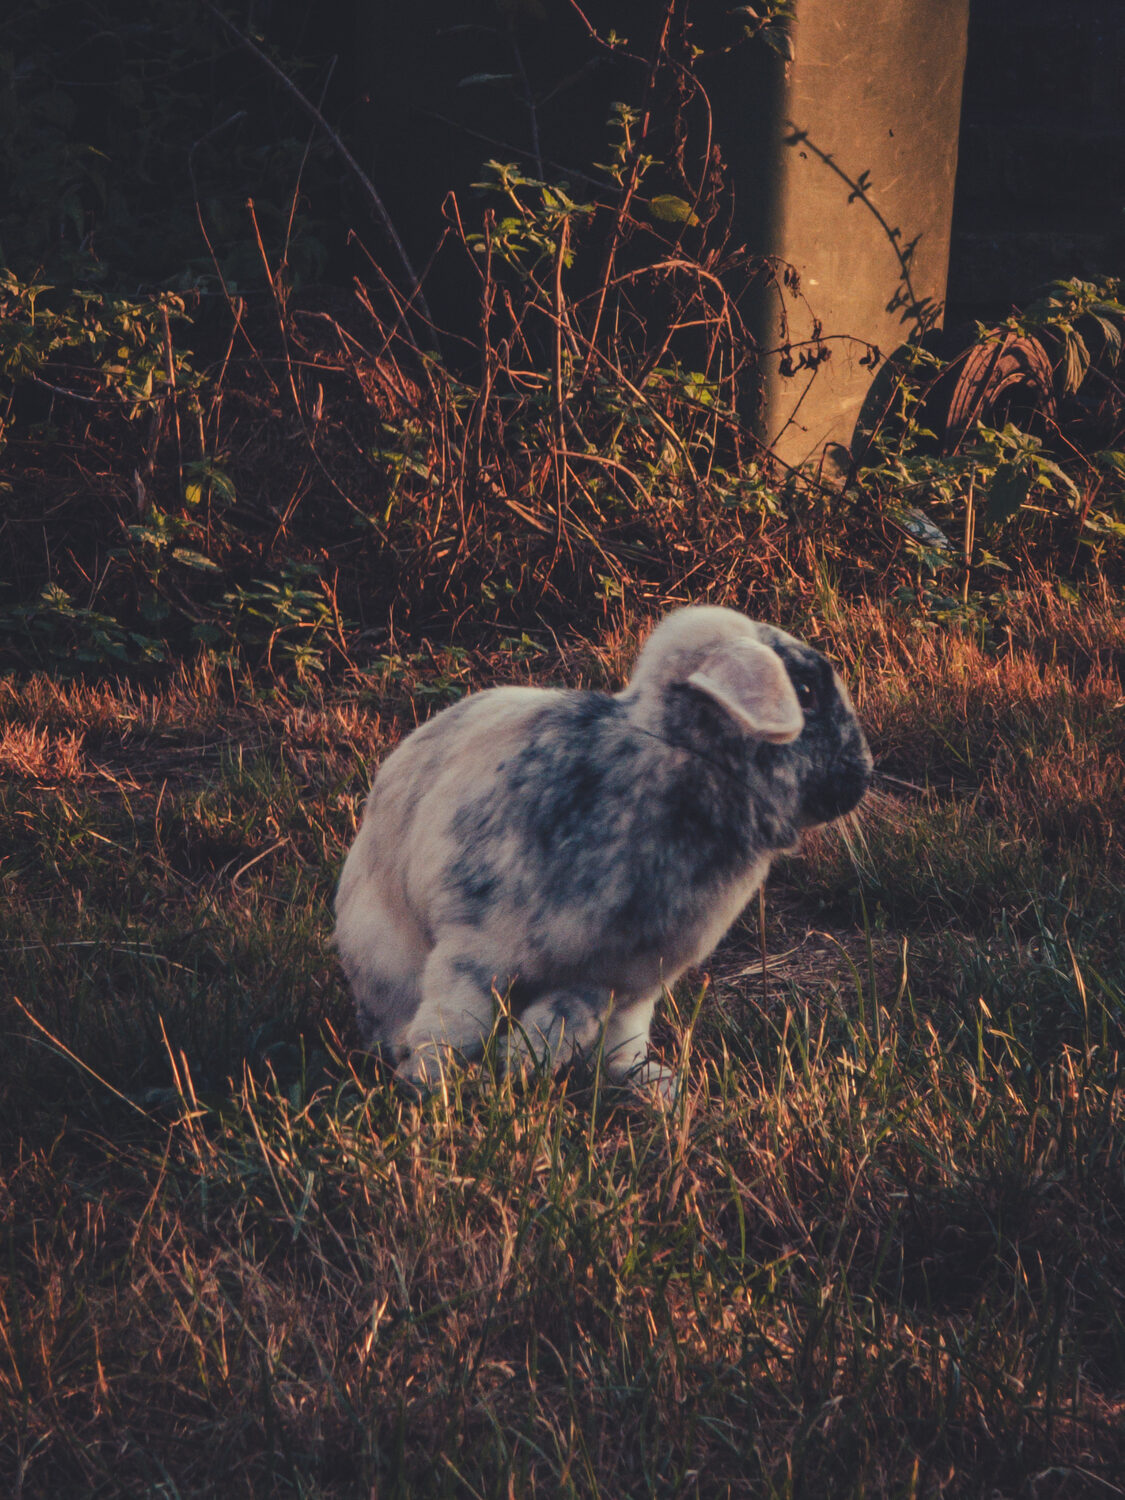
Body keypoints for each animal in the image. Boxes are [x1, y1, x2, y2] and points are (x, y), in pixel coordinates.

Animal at [334, 605, 872, 1095]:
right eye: (806, 692)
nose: (862, 775)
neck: (682, 758)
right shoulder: (477, 950)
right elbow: (459, 1024)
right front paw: (435, 1087)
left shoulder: (612, 978)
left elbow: (561, 1026)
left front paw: (517, 1067)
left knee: (615, 1049)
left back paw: (650, 1086)